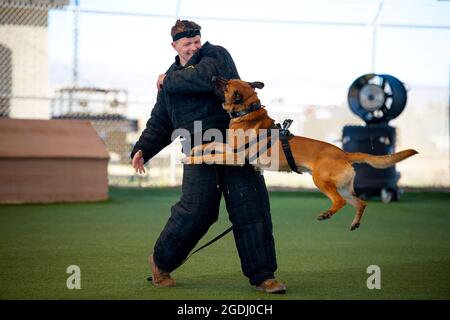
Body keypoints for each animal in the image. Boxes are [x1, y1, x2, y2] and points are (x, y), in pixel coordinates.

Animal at [184, 79, 418, 231]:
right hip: (344, 187)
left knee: (340, 202)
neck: (248, 113)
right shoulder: (230, 149)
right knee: (361, 203)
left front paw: (191, 159)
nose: (213, 77)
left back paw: (327, 214)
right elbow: (213, 144)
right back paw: (354, 223)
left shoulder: (236, 158)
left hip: (321, 181)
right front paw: (196, 149)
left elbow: (211, 156)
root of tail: (344, 153)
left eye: (225, 84)